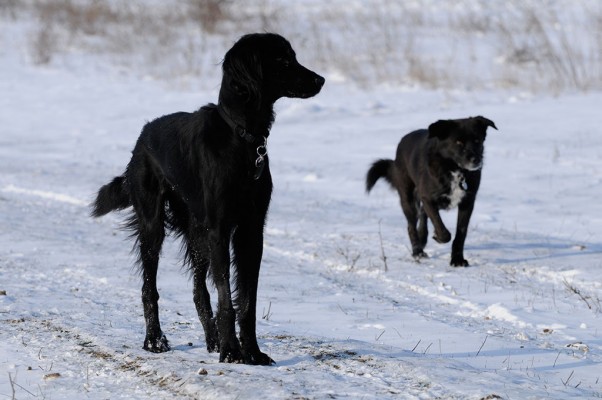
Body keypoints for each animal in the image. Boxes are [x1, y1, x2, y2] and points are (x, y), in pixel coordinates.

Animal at [91, 33, 324, 366]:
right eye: (282, 60)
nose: (321, 80)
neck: (243, 138)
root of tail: (144, 134)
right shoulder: (220, 228)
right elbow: (227, 295)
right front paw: (232, 351)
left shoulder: (251, 231)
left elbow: (247, 299)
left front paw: (251, 351)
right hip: (154, 225)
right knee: (149, 287)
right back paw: (155, 339)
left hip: (196, 232)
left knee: (198, 290)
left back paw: (211, 339)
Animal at [366, 115, 496, 266]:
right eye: (458, 142)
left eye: (477, 140)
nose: (476, 160)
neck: (453, 169)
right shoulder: (428, 198)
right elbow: (443, 231)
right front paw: (439, 238)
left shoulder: (467, 202)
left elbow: (461, 233)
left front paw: (457, 259)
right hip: (408, 199)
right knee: (411, 226)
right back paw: (418, 251)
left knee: (423, 214)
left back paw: (422, 238)